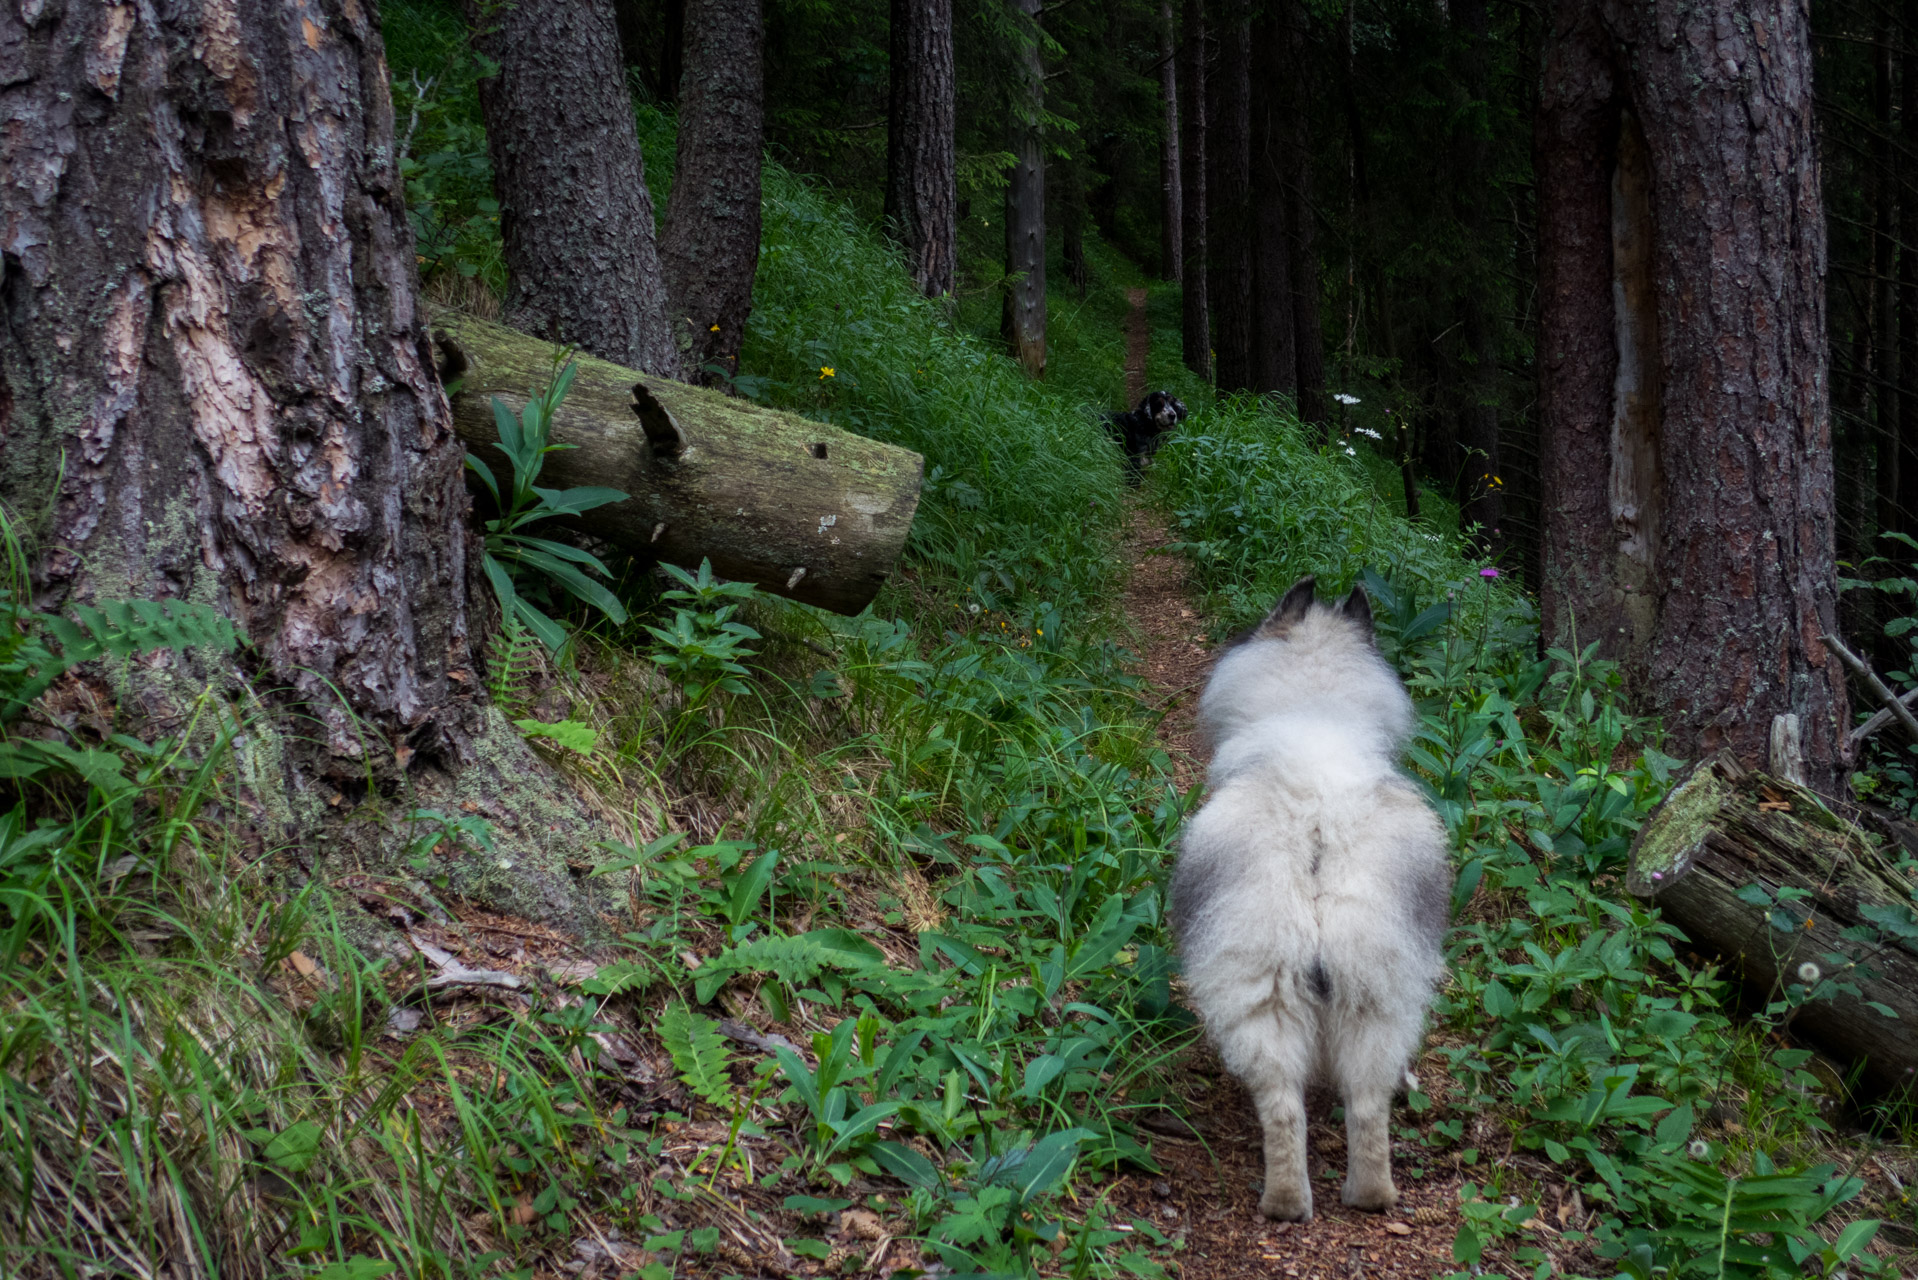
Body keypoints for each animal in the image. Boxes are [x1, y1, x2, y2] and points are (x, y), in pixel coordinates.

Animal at [1166, 575, 1450, 1220]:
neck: (1315, 704)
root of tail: (1320, 825)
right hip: (1376, 993)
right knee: (1364, 1105)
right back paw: (1362, 1196)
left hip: (1265, 989)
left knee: (1282, 1106)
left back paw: (1285, 1202)